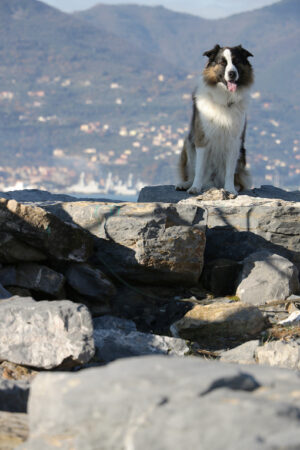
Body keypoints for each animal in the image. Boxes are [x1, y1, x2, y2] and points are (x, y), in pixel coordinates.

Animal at [177, 43, 254, 195]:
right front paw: (195, 187)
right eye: (222, 62)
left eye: (236, 61)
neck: (225, 97)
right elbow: (199, 168)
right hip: (188, 142)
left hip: (241, 154)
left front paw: (230, 189)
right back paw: (186, 184)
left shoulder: (235, 141)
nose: (232, 73)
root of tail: (212, 181)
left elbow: (230, 171)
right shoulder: (202, 138)